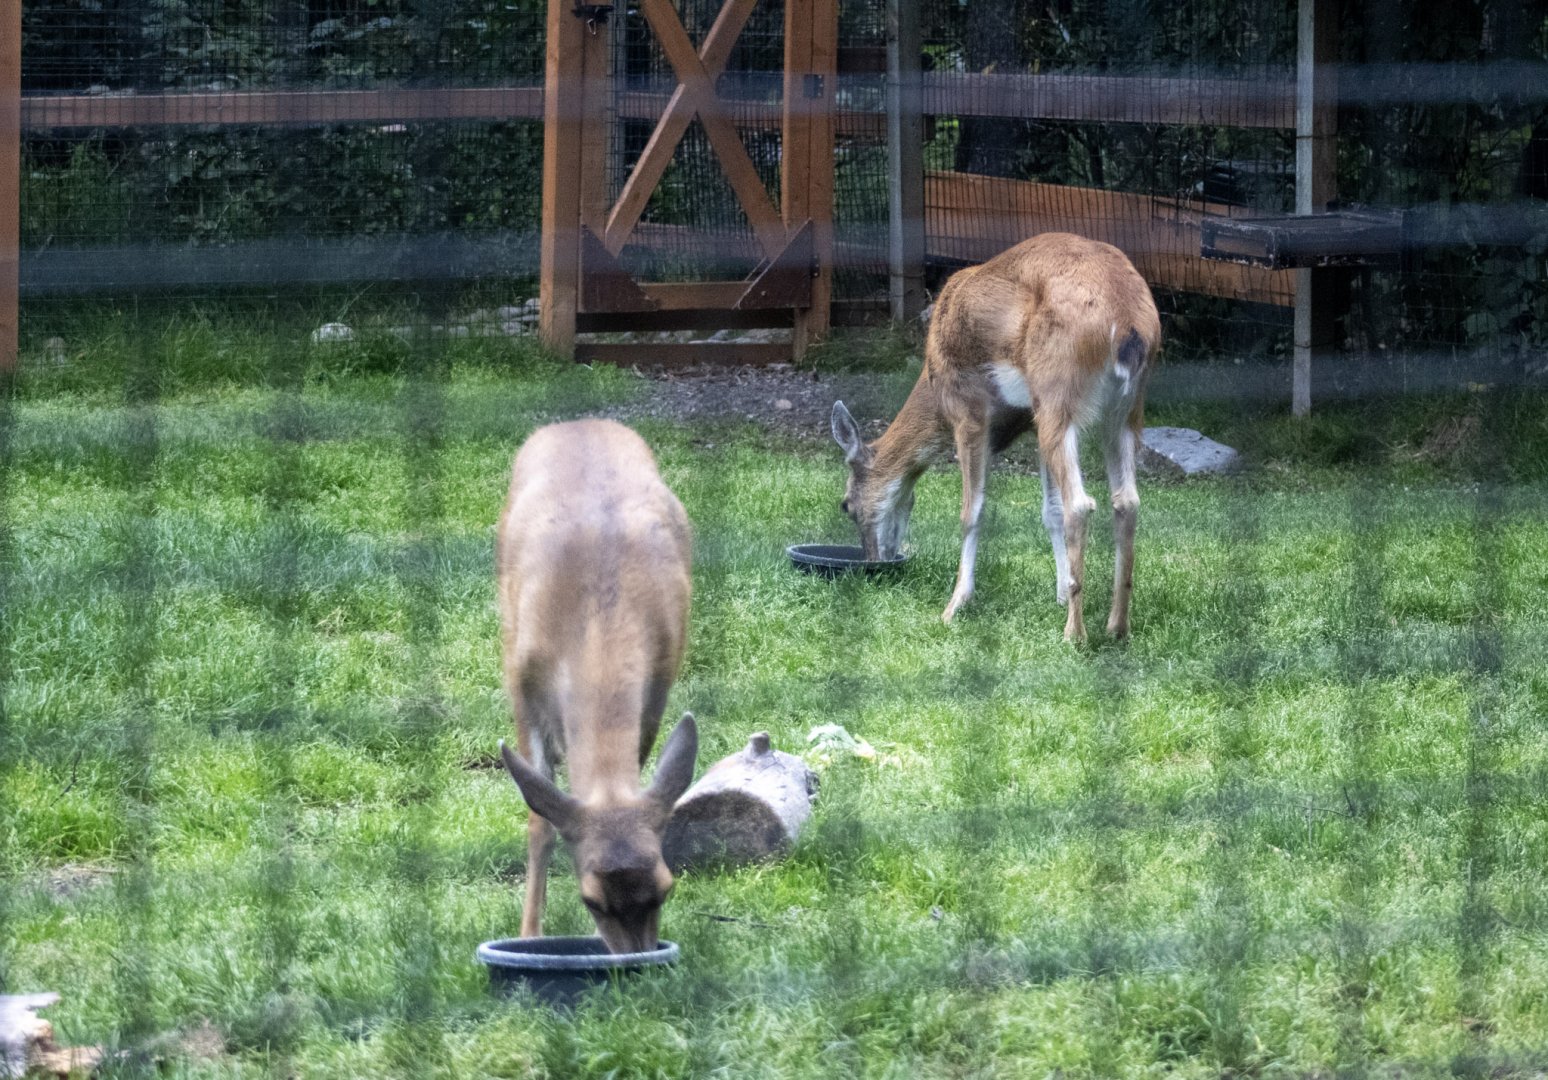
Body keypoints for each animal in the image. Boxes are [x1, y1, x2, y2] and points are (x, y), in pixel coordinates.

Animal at [494, 418, 698, 954]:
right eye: (592, 899)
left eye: (666, 887)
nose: (637, 964)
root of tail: (579, 422)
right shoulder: (521, 683)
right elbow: (539, 822)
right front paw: (529, 933)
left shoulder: (658, 684)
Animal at [830, 232, 1161, 642]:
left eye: (845, 505)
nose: (876, 560)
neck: (933, 388)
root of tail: (1128, 321)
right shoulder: (1032, 421)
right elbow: (1048, 511)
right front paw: (1059, 592)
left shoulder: (969, 412)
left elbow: (971, 512)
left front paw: (954, 606)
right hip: (1124, 409)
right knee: (1126, 500)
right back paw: (1116, 626)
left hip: (1058, 393)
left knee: (1081, 504)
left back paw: (1075, 634)